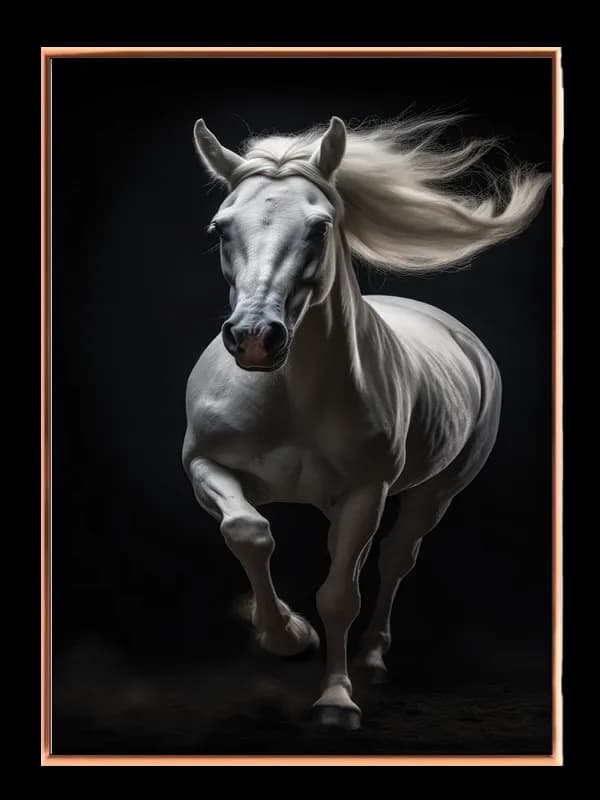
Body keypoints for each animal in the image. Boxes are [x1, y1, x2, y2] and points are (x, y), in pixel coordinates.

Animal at [182, 115, 550, 730]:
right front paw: (285, 634)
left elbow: (339, 596)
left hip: (435, 493)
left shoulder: (366, 493)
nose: (255, 338)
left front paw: (335, 700)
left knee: (396, 558)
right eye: (220, 226)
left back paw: (373, 659)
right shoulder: (206, 468)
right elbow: (248, 532)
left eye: (319, 227)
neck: (293, 398)